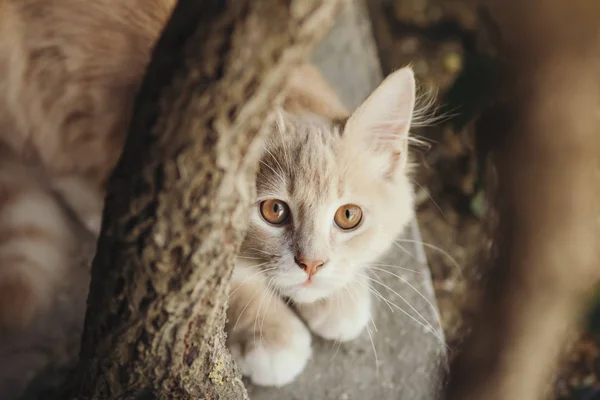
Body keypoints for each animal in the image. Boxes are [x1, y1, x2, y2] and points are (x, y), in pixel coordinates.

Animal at [0, 0, 418, 394]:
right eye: (274, 210)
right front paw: (268, 333)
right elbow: (218, 281)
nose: (312, 265)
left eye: (348, 216)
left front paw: (342, 294)